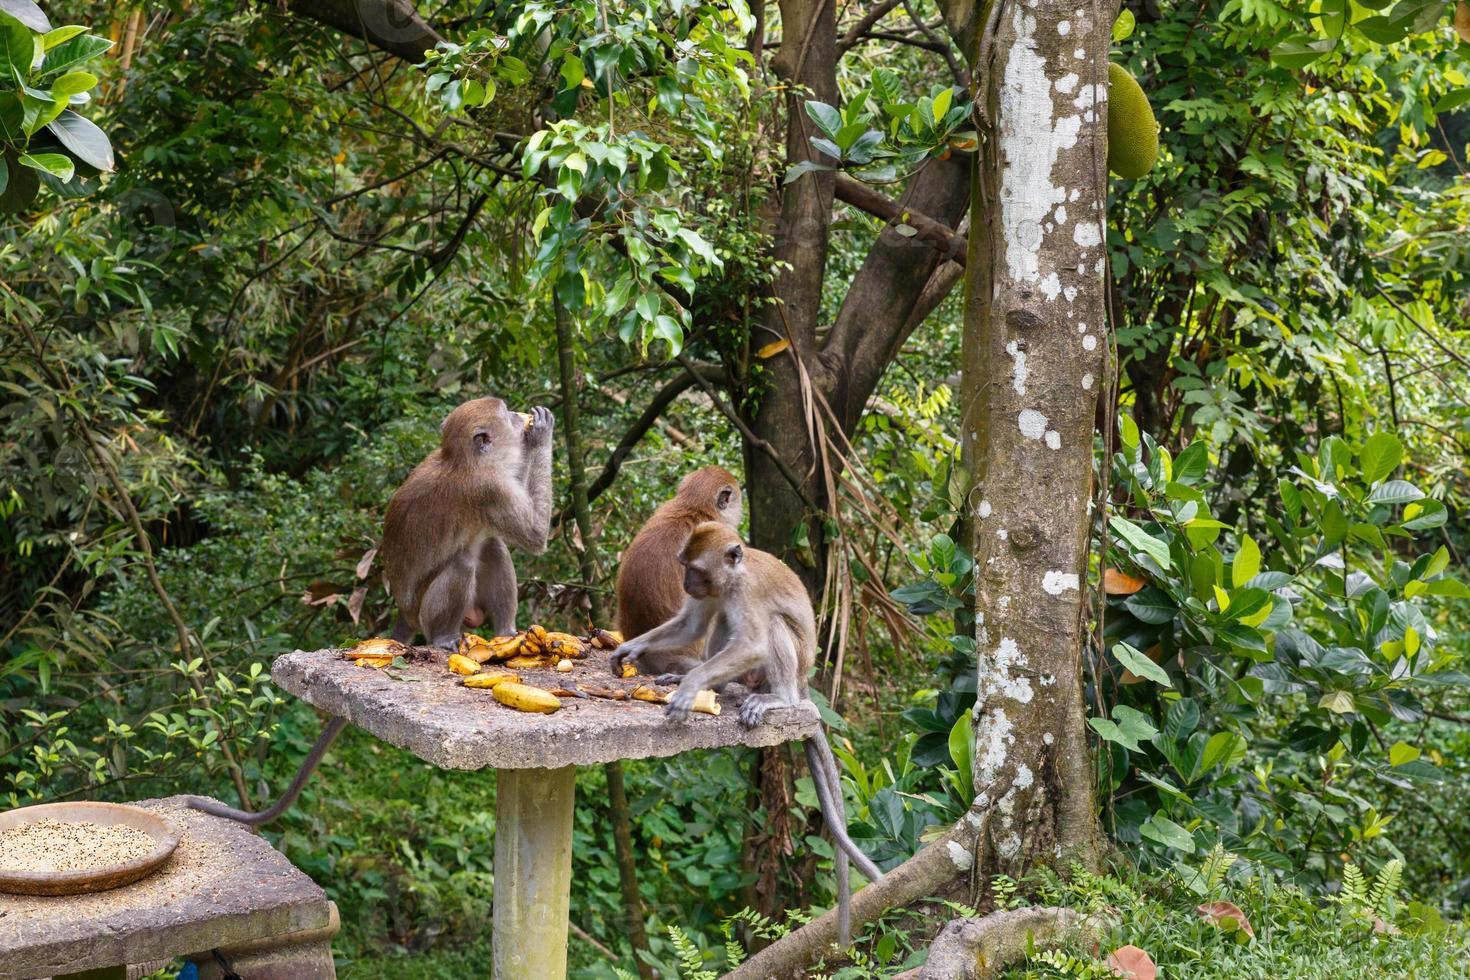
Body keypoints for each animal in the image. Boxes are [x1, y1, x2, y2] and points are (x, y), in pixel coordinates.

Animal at [385, 393, 552, 646]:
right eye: (507, 412)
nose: (517, 414)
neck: (464, 459)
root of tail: (405, 614)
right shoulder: (490, 488)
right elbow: (535, 533)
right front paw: (540, 436)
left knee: (493, 546)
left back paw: (506, 631)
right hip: (423, 616)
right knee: (463, 562)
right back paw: (443, 637)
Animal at [608, 525, 882, 946]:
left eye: (695, 570)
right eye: (683, 567)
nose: (686, 584)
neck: (733, 580)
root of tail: (804, 684)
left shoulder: (746, 593)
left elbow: (753, 643)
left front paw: (691, 684)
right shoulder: (715, 593)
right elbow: (691, 626)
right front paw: (632, 647)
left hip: (789, 669)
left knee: (772, 627)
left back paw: (773, 698)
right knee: (721, 620)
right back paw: (723, 688)